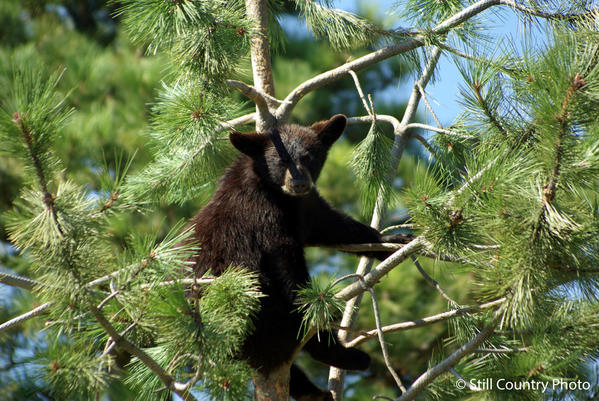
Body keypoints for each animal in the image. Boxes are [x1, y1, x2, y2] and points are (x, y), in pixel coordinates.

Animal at [189, 114, 408, 398]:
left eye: (309, 157)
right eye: (281, 161)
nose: (299, 183)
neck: (280, 195)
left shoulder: (307, 206)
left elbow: (334, 226)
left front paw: (392, 242)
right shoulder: (263, 212)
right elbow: (285, 259)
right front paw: (313, 310)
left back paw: (316, 390)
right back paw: (343, 355)